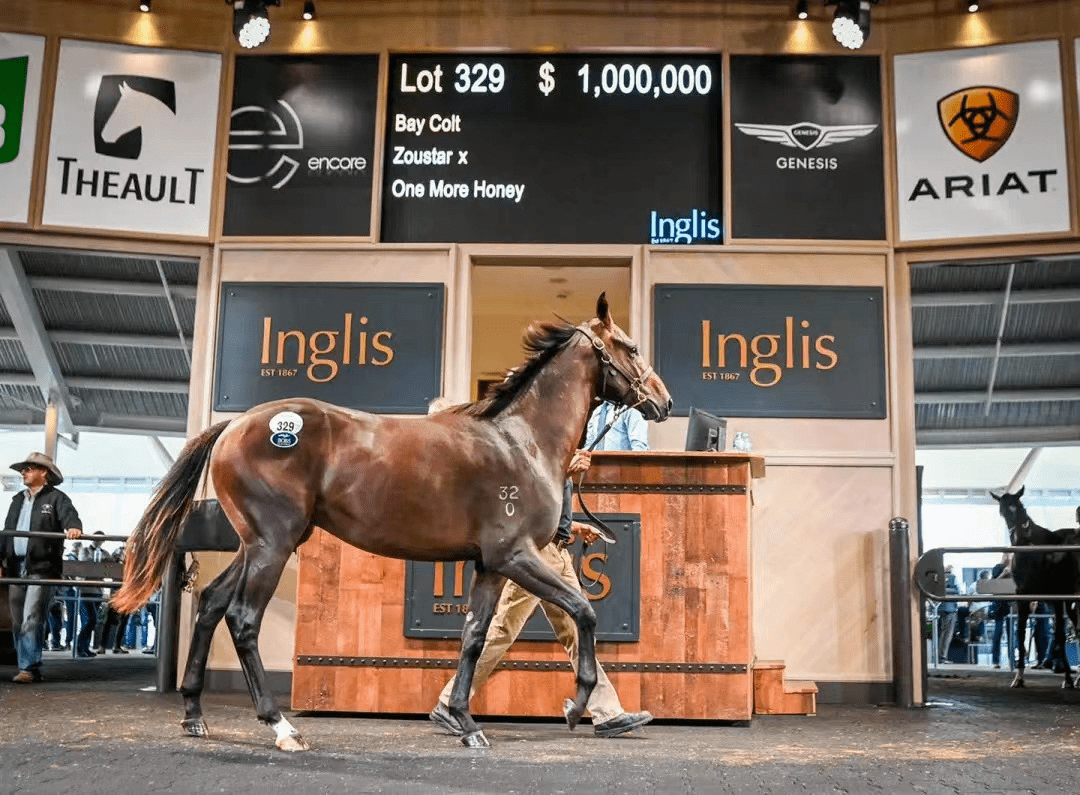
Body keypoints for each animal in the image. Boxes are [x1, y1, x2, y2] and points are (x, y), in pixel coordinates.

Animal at [109, 293, 665, 751]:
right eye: (632, 347)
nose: (664, 401)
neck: (522, 440)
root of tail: (234, 426)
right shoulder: (517, 555)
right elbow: (583, 611)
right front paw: (575, 706)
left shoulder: (490, 565)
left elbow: (474, 636)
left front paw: (465, 723)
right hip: (272, 545)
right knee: (242, 619)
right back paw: (282, 727)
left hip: (255, 545)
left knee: (209, 603)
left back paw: (194, 714)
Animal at [989, 488, 1075, 686]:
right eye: (1002, 511)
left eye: (1018, 507)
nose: (1016, 537)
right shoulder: (1024, 596)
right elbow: (1021, 633)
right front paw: (1018, 677)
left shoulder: (1057, 598)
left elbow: (1059, 634)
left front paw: (1067, 677)